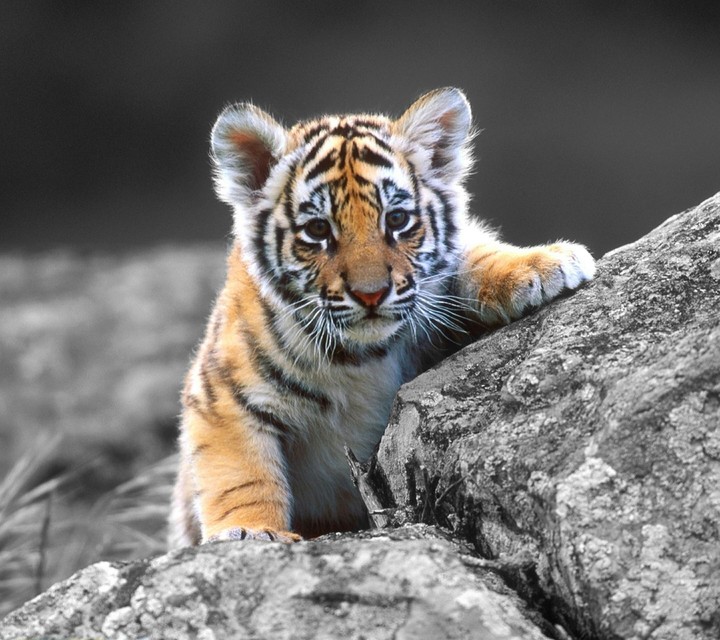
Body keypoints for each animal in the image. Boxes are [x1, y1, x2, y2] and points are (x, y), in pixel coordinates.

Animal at [168, 87, 595, 547]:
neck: (361, 357)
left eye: (397, 219)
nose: (370, 293)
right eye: (318, 230)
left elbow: (473, 254)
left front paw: (544, 264)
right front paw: (250, 532)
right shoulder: (221, 396)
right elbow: (241, 475)